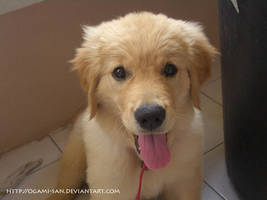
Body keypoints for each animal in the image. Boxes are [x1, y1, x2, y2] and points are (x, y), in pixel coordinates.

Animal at [47, 11, 218, 199]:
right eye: (119, 72)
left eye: (170, 69)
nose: (150, 116)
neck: (146, 163)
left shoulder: (185, 183)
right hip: (74, 159)